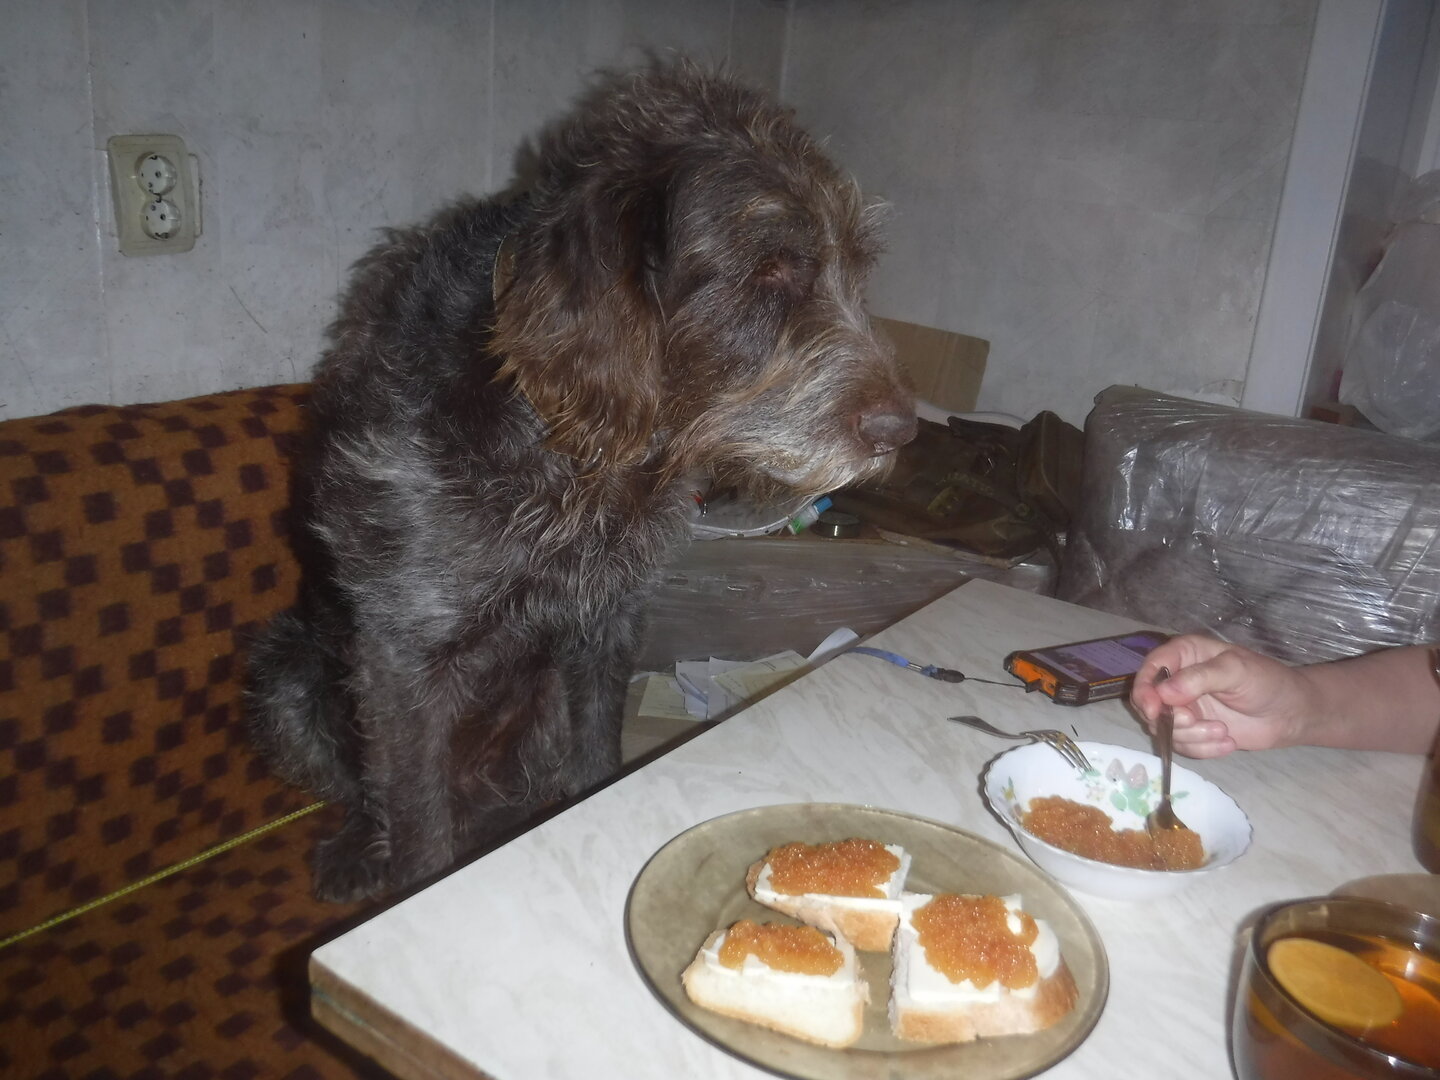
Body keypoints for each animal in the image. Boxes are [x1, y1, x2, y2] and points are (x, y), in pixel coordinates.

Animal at [245, 60, 917, 902]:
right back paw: (355, 848)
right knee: (370, 790)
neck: (571, 447)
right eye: (770, 268)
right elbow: (418, 821)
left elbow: (597, 759)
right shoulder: (404, 655)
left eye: (854, 268)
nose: (903, 431)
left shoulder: (604, 624)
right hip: (285, 671)